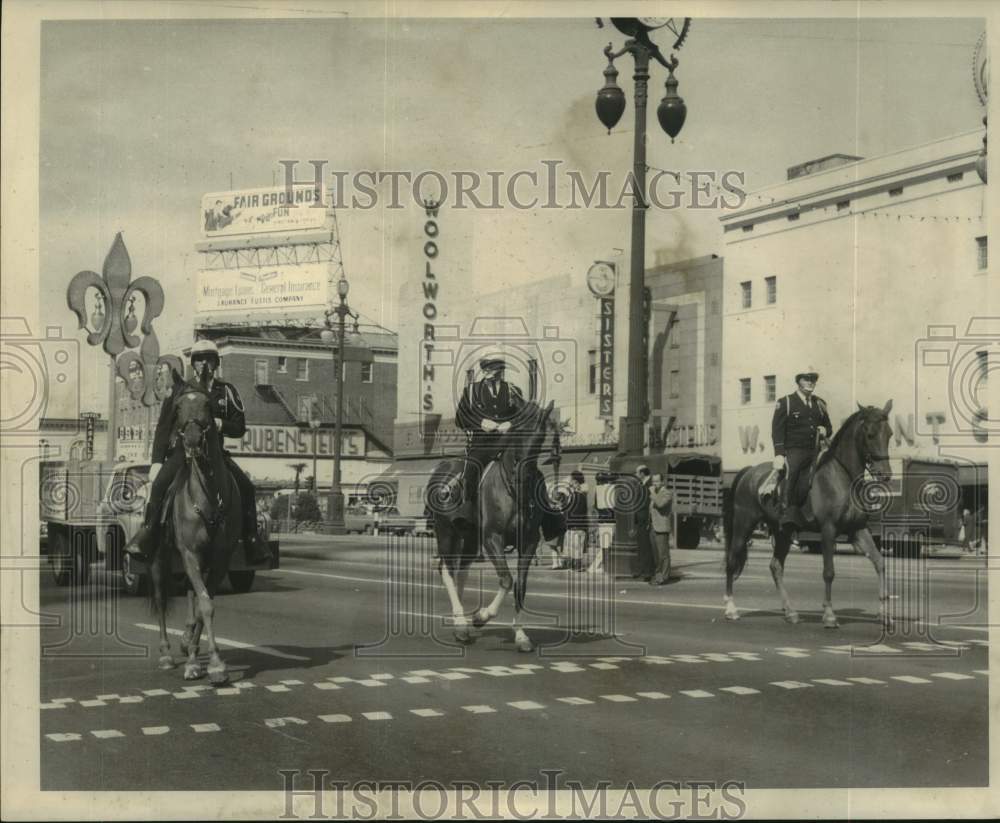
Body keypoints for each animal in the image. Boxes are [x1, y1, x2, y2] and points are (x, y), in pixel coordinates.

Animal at [148, 374, 242, 684]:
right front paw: (197, 663)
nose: (191, 441)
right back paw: (166, 654)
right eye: (177, 407)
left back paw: (188, 641)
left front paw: (209, 662)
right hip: (159, 558)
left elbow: (205, 605)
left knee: (190, 594)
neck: (209, 496)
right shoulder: (189, 554)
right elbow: (203, 603)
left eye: (209, 405)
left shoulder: (220, 559)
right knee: (160, 597)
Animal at [430, 400, 564, 652]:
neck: (514, 491)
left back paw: (460, 625)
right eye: (518, 431)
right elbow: (507, 579)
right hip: (446, 533)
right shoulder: (493, 538)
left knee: (461, 571)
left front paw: (520, 635)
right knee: (447, 570)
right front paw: (482, 616)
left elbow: (520, 586)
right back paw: (461, 623)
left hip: (469, 537)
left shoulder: (529, 543)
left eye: (540, 435)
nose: (522, 474)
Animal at [724, 402, 896, 628]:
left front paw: (884, 614)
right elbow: (829, 572)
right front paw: (829, 615)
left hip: (782, 532)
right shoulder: (828, 530)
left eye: (890, 434)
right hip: (743, 524)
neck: (841, 476)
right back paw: (730, 609)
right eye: (870, 434)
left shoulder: (858, 529)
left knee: (775, 566)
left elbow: (880, 562)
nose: (885, 474)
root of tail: (749, 471)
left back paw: (790, 612)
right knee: (731, 561)